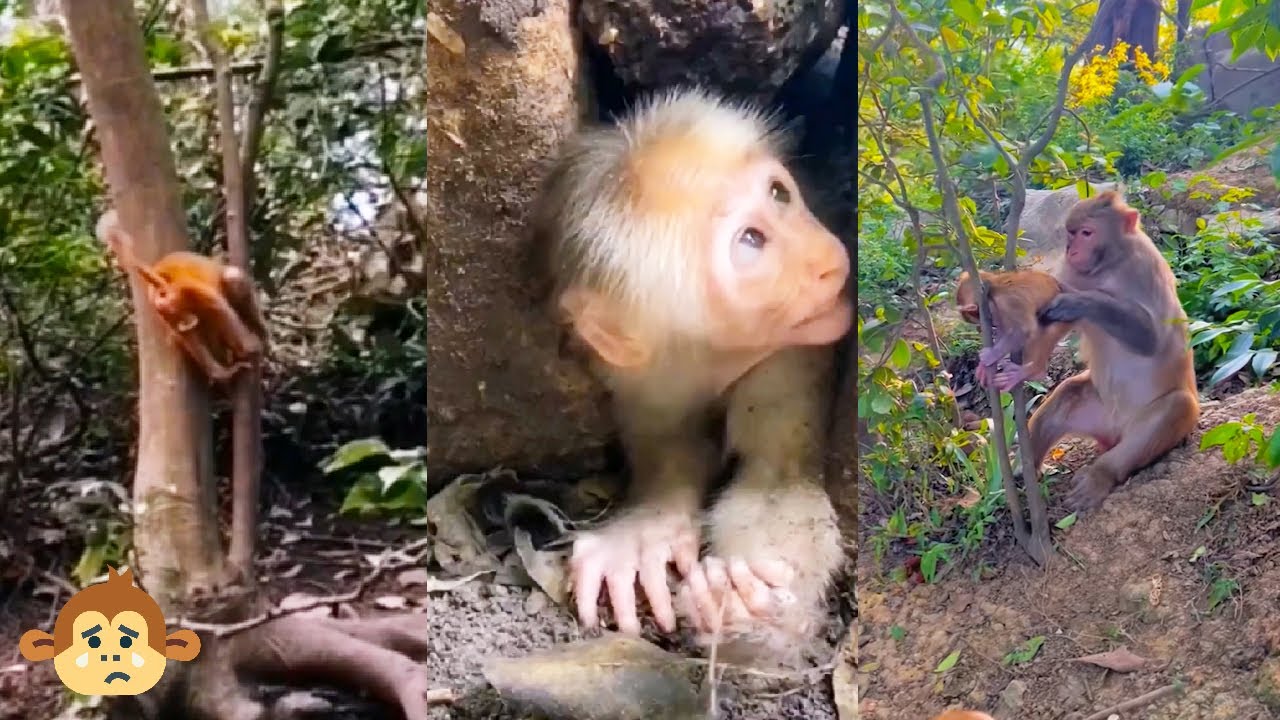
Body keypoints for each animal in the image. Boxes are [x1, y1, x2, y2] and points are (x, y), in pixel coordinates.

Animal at [97, 210, 268, 384]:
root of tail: (159, 276)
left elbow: (192, 333)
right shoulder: (186, 290)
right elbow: (221, 309)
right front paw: (250, 345)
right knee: (231, 281)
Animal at [530, 87, 851, 664]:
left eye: (779, 193)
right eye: (751, 241)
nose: (825, 260)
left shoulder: (786, 358)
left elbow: (776, 478)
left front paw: (753, 607)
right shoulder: (646, 381)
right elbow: (672, 451)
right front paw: (643, 535)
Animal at [1026, 189, 1200, 510]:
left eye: (1086, 233)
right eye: (1071, 234)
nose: (1071, 250)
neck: (1110, 265)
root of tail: (1114, 433)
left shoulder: (1145, 268)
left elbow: (1150, 338)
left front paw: (1078, 301)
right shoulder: (1073, 271)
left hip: (1146, 425)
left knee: (1177, 406)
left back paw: (1101, 475)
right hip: (1099, 414)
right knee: (1069, 391)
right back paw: (1025, 466)